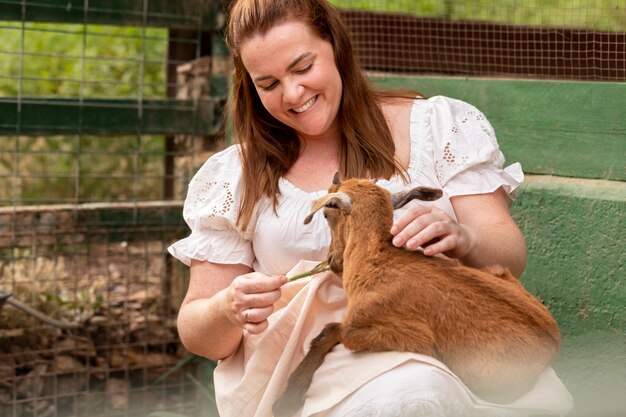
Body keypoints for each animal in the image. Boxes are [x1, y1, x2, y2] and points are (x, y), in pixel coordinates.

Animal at [274, 176, 560, 416]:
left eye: (326, 213)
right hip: (498, 270)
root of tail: (554, 342)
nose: (333, 261)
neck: (375, 259)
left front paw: (287, 398)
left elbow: (330, 330)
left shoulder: (398, 333)